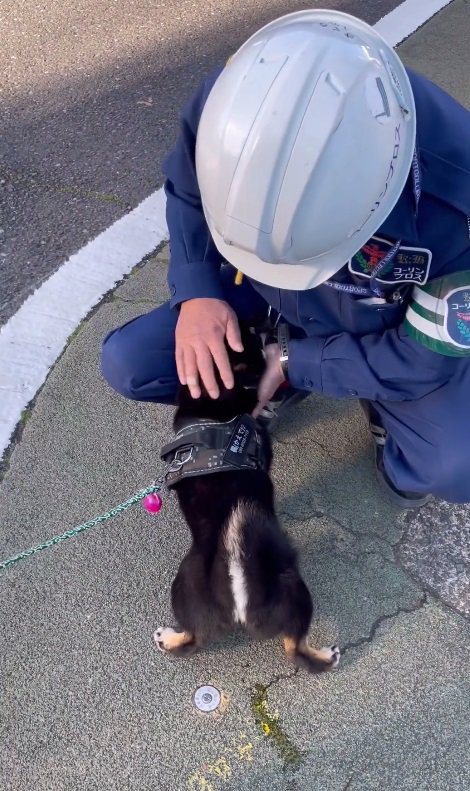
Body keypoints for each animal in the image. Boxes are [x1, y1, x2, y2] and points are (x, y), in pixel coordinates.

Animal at [153, 324, 338, 672]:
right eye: (250, 334)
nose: (267, 328)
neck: (210, 408)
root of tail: (238, 592)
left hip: (183, 587)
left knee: (192, 640)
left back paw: (168, 639)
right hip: (294, 593)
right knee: (295, 646)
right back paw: (326, 656)